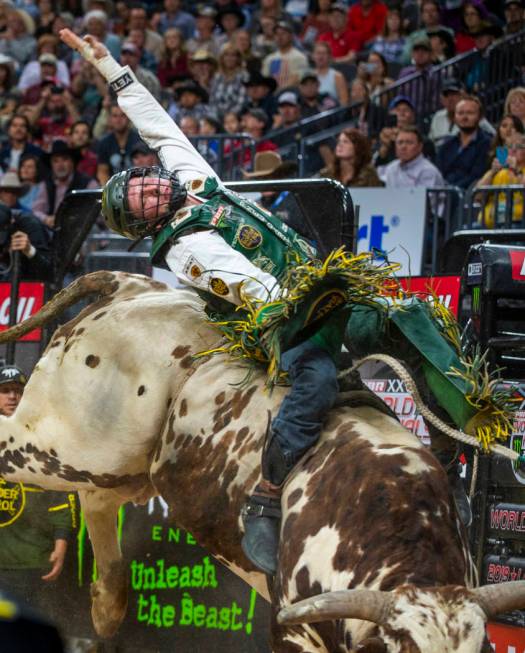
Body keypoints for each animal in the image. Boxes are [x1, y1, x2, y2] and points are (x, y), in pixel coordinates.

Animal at [0, 268, 520, 648]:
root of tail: (131, 287)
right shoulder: (292, 630)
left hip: (118, 467)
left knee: (98, 502)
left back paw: (107, 605)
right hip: (58, 442)